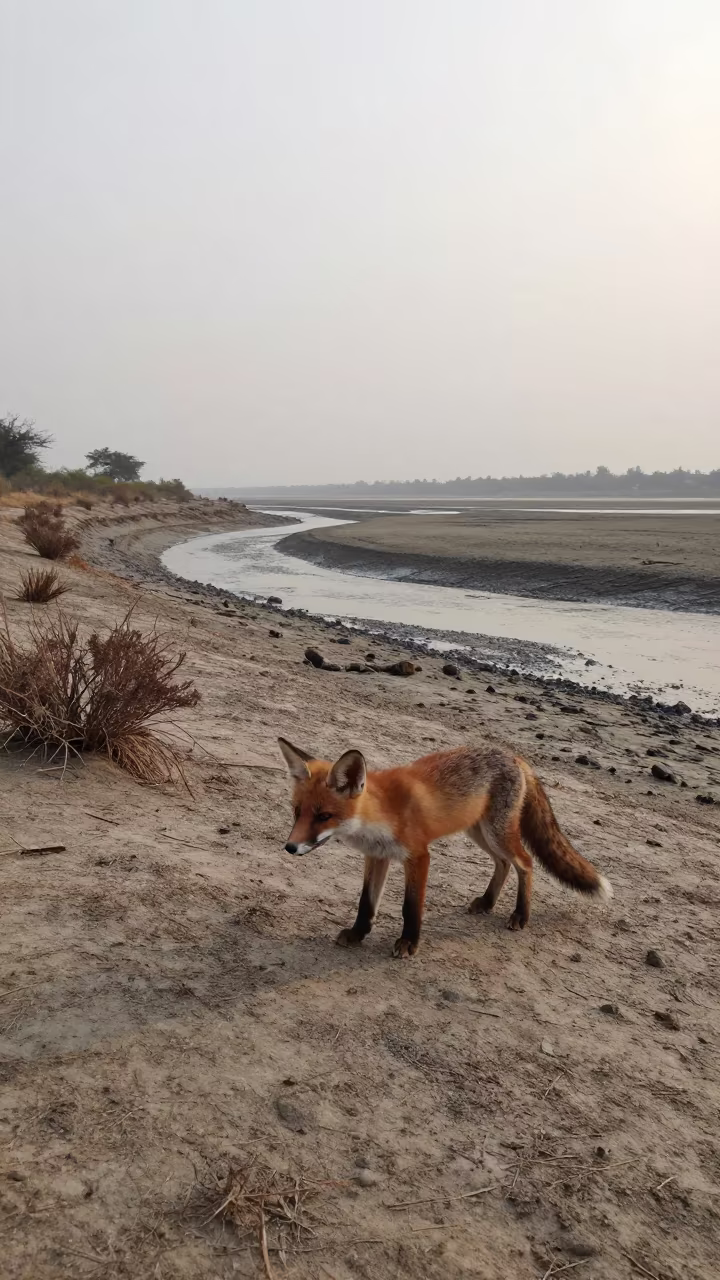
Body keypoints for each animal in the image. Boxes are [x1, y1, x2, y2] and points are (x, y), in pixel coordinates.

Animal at [279, 737, 612, 957]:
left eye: (324, 816)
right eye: (297, 812)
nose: (290, 847)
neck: (381, 812)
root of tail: (513, 755)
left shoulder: (418, 856)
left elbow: (411, 907)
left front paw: (409, 943)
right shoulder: (377, 856)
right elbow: (366, 902)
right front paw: (358, 933)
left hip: (496, 833)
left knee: (525, 863)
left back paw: (521, 915)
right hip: (477, 832)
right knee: (503, 863)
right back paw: (487, 902)